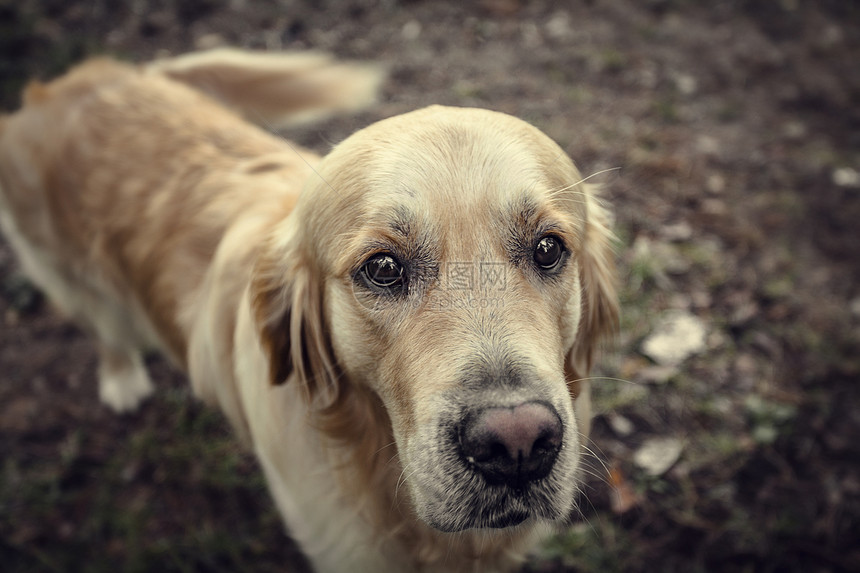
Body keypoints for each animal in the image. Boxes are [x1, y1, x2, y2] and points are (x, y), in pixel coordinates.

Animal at [0, 51, 620, 568]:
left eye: (548, 249)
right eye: (383, 267)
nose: (518, 443)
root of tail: (77, 79)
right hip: (69, 276)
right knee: (104, 325)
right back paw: (122, 378)